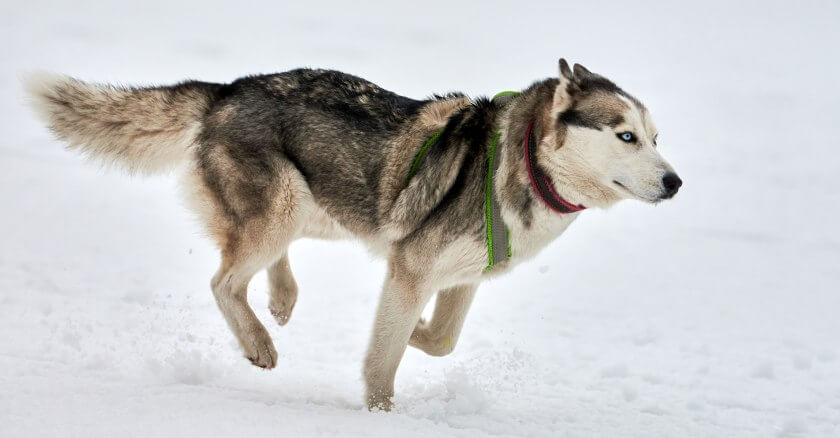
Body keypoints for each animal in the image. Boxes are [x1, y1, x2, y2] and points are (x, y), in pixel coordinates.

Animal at [24, 58, 684, 410]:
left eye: (656, 138)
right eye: (625, 135)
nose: (676, 182)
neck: (522, 161)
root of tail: (227, 89)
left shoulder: (461, 277)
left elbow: (441, 340)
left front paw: (413, 334)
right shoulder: (413, 269)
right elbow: (384, 360)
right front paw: (381, 413)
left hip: (316, 204)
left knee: (258, 266)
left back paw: (282, 300)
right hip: (283, 206)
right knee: (222, 281)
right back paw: (259, 343)